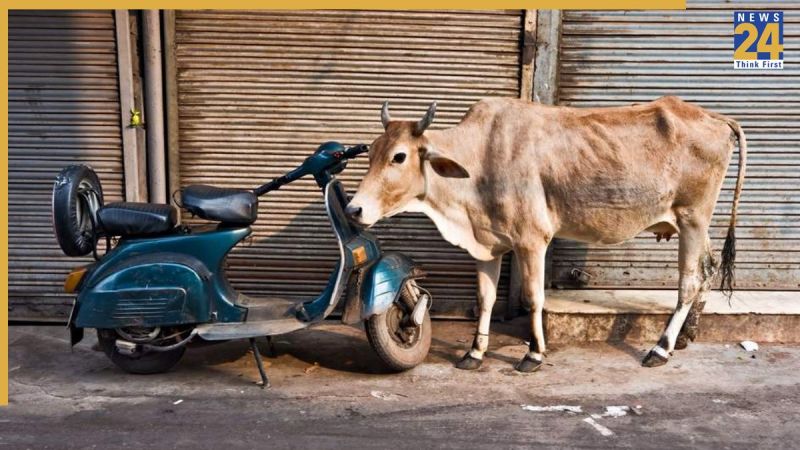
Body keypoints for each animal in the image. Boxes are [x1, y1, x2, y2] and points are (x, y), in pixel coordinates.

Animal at [346, 96, 746, 372]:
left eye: (399, 156)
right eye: (371, 153)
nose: (355, 210)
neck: (479, 159)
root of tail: (715, 117)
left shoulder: (531, 240)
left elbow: (534, 298)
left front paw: (534, 354)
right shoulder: (488, 245)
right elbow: (485, 299)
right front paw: (475, 352)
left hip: (693, 217)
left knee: (688, 282)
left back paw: (661, 347)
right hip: (694, 223)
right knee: (708, 268)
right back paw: (687, 335)